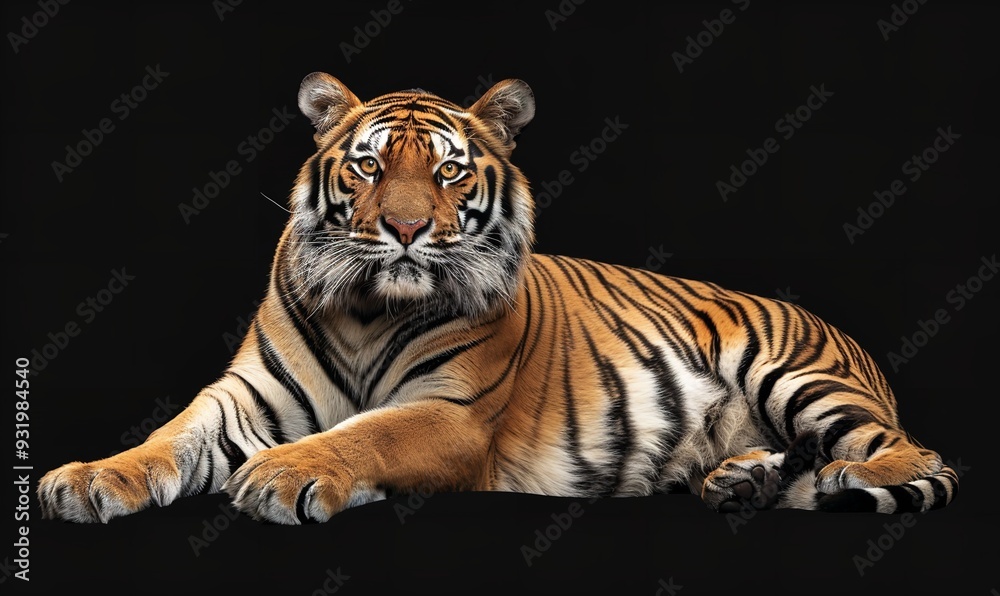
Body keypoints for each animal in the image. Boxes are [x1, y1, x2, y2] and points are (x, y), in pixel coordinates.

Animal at [38, 73, 958, 524]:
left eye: (448, 171)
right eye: (369, 166)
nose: (407, 228)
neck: (368, 309)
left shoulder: (452, 414)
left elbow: (363, 434)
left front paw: (285, 473)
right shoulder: (239, 397)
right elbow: (167, 439)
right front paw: (86, 480)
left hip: (799, 377)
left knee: (910, 454)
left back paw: (842, 477)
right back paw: (743, 483)